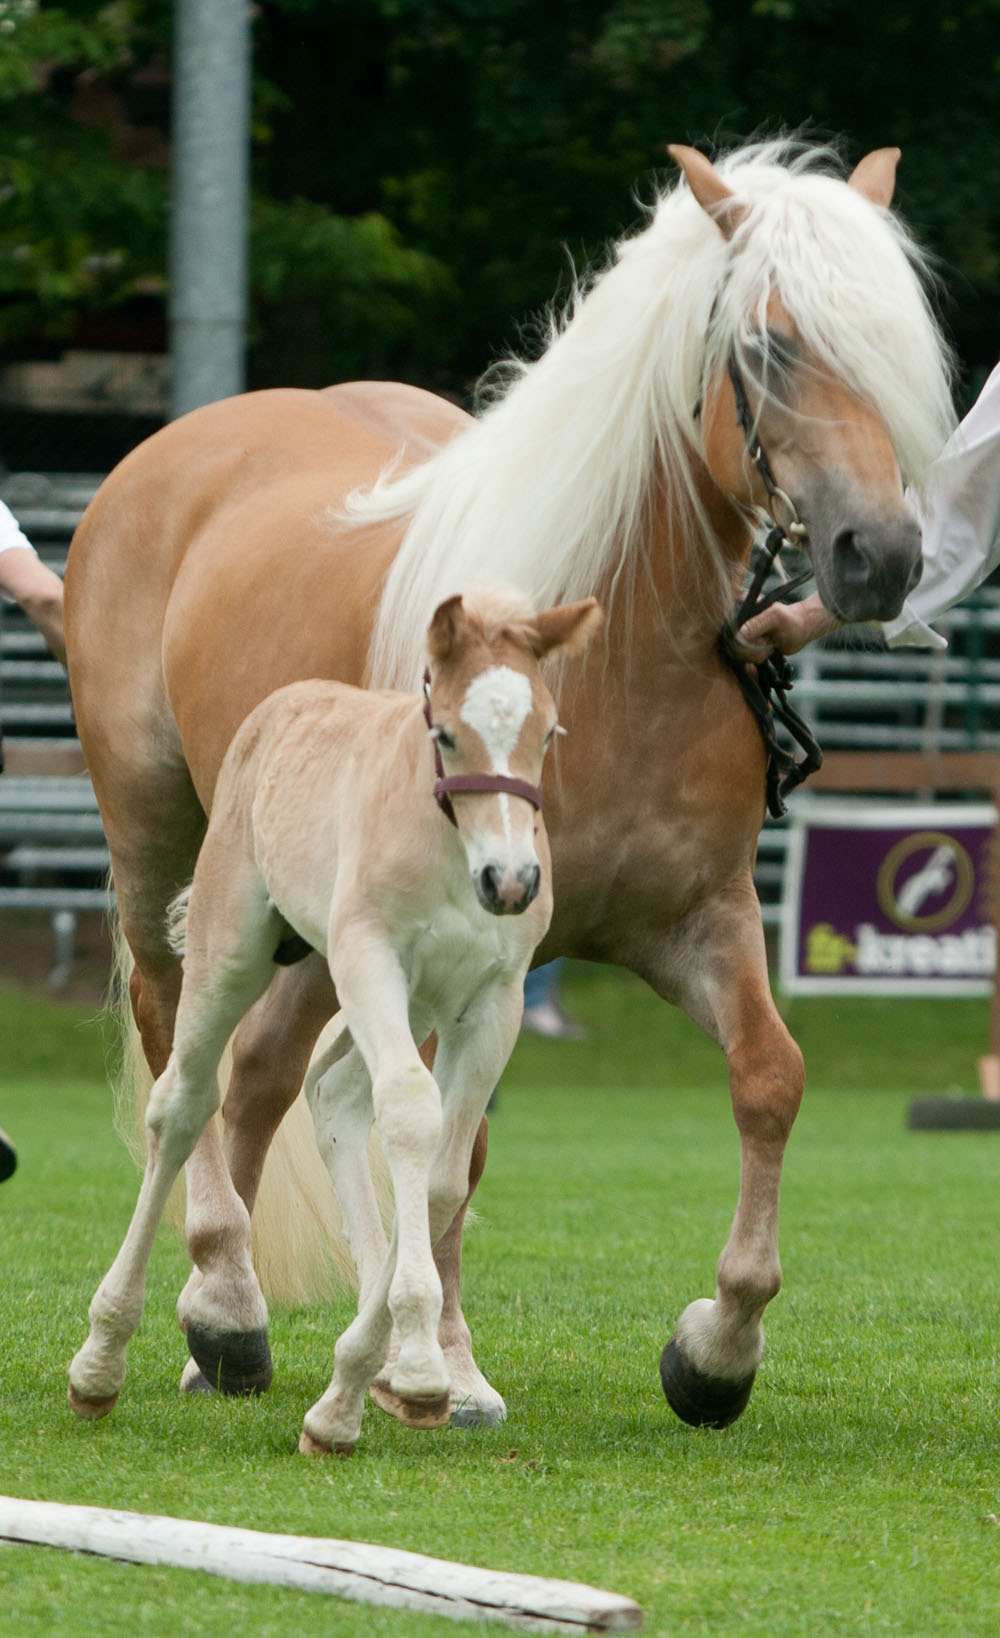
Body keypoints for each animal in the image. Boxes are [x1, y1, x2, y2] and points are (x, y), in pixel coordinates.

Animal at [70, 592, 605, 1461]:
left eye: (549, 732)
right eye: (446, 733)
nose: (513, 881)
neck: (448, 852)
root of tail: (279, 706)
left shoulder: (493, 1002)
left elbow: (444, 1175)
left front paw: (368, 1388)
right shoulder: (370, 960)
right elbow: (413, 1114)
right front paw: (409, 1370)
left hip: (398, 999)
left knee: (337, 1093)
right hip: (238, 955)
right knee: (183, 1107)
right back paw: (99, 1361)